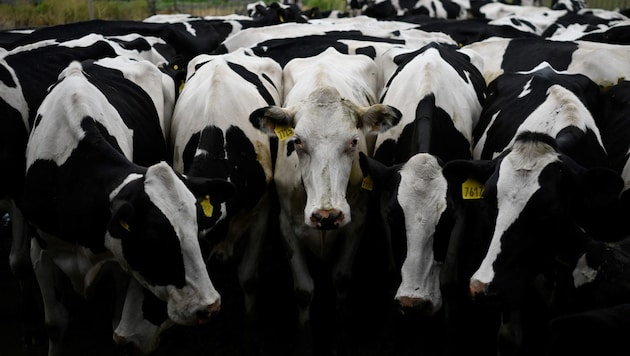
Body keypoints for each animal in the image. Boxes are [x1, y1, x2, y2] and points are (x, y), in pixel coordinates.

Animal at [21, 57, 236, 354]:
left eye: (197, 234)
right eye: (153, 240)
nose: (209, 307)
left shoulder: (120, 263)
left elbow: (115, 325)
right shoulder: (40, 249)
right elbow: (54, 323)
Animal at [247, 46, 400, 354]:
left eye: (354, 141)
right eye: (297, 141)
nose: (327, 215)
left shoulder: (357, 219)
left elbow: (341, 279)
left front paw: (341, 338)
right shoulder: (286, 225)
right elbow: (304, 290)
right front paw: (305, 342)